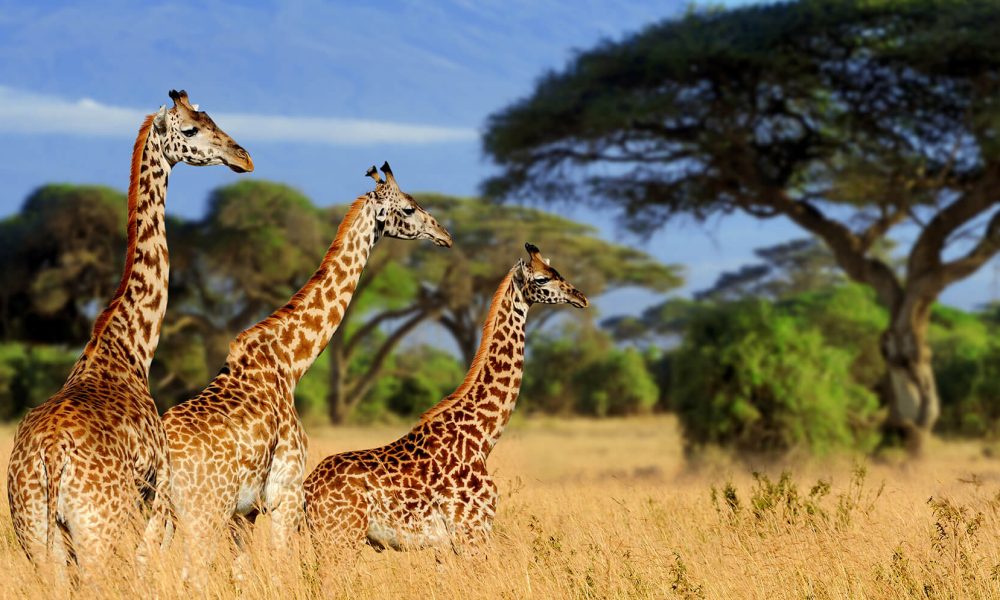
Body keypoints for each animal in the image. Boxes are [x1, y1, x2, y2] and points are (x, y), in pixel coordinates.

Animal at [5, 86, 254, 580]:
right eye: (191, 128)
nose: (244, 157)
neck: (130, 346)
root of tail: (50, 456)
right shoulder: (156, 496)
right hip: (97, 531)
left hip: (36, 535)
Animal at [161, 163, 454, 572]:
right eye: (409, 208)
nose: (445, 236)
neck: (290, 361)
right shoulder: (284, 493)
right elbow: (282, 567)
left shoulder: (246, 511)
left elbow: (242, 571)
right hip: (204, 509)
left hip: (163, 513)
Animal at [302, 243, 584, 556]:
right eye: (542, 279)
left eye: (557, 271)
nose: (580, 297)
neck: (482, 438)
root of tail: (306, 490)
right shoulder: (472, 531)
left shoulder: (450, 544)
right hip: (340, 537)